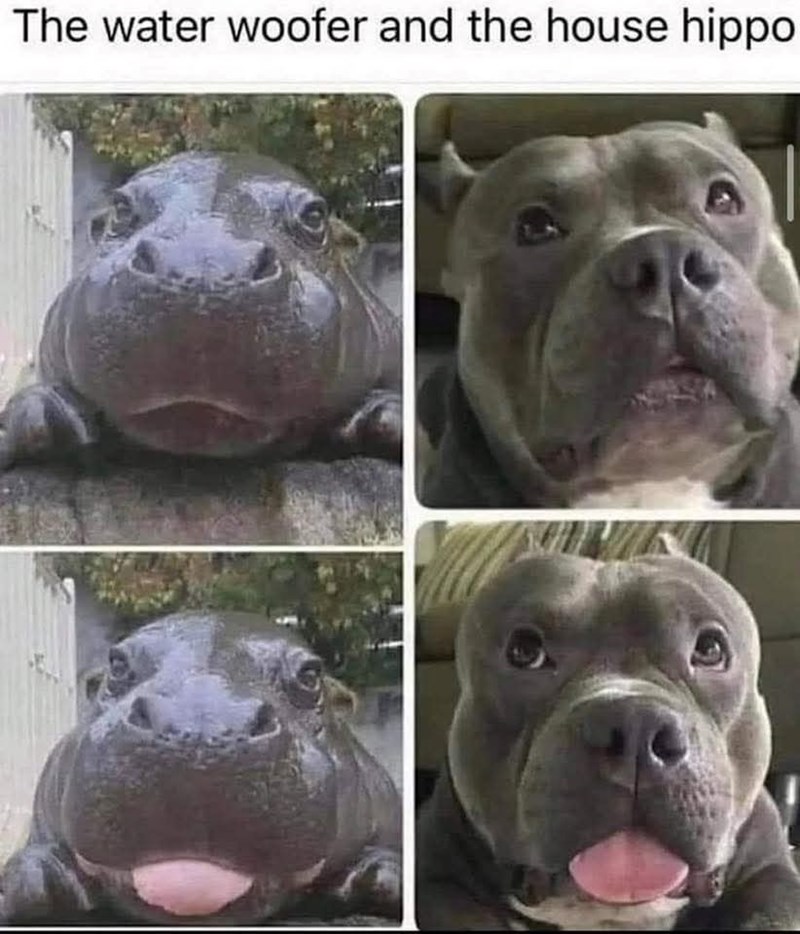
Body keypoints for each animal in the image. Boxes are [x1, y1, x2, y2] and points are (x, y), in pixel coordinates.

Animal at [0, 612, 402, 924]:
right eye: (117, 664)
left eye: (310, 675)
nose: (199, 730)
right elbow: (31, 872)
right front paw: (36, 872)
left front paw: (376, 872)